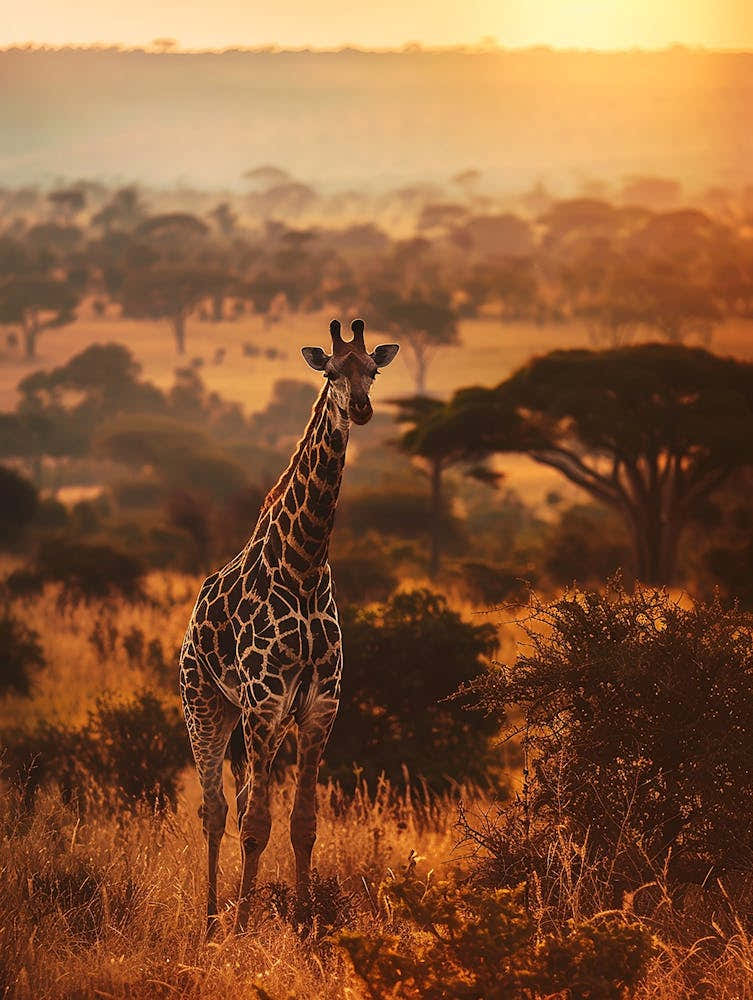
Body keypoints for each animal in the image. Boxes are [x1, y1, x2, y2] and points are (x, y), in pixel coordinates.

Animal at [179, 318, 399, 935]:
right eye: (330, 372)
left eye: (372, 370)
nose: (361, 408)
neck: (302, 564)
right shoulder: (263, 700)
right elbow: (255, 825)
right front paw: (241, 928)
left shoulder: (318, 704)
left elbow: (302, 824)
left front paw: (304, 922)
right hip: (205, 703)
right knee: (215, 809)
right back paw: (212, 918)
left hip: (258, 720)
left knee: (242, 799)